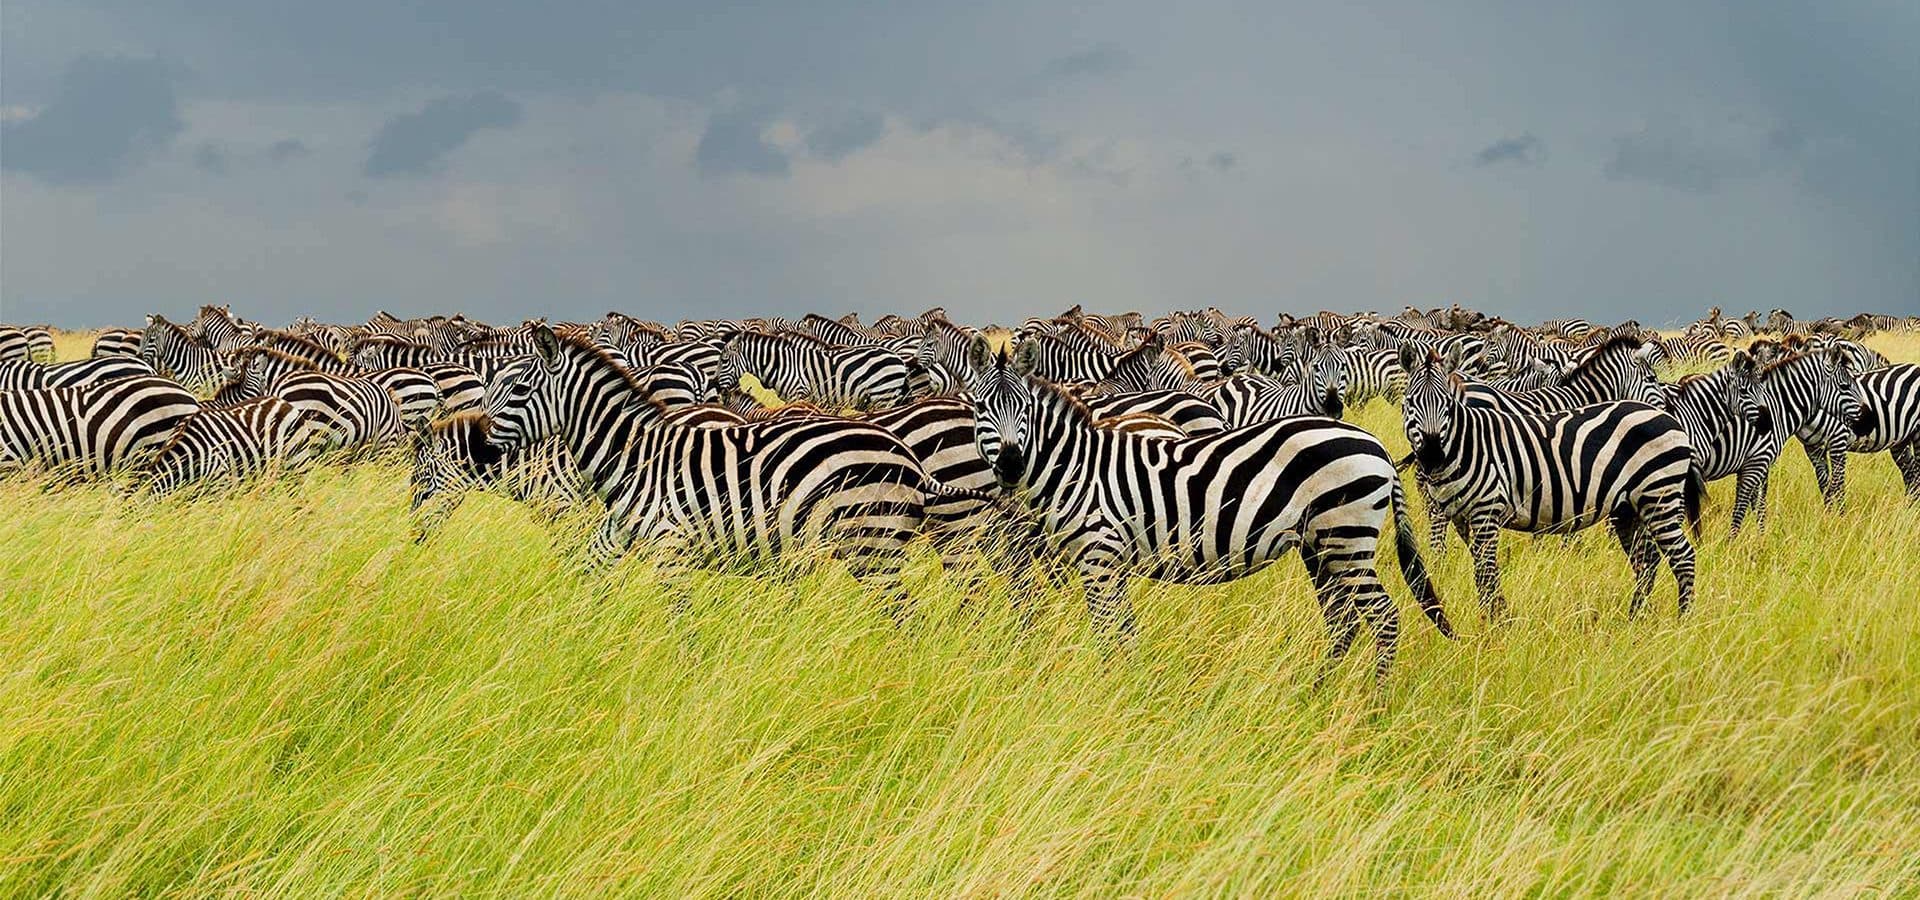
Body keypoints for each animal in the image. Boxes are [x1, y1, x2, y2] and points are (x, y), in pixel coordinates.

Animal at [479, 326, 933, 612]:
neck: (637, 458)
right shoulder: (615, 534)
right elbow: (584, 574)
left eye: (519, 389)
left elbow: (682, 621)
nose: (480, 448)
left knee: (905, 616)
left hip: (872, 546)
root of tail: (907, 456)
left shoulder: (671, 549)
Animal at [964, 336, 1454, 679]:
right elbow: (1124, 631)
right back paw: (1317, 692)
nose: (1010, 465)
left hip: (1346, 540)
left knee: (1384, 618)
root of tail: (1377, 446)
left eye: (1024, 408)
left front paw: (1111, 690)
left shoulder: (1099, 558)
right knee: (1342, 620)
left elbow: (1108, 633)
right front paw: (1130, 685)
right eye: (983, 409)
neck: (1077, 467)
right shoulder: (1110, 564)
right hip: (1320, 546)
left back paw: (1373, 703)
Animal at [1398, 344, 1702, 620]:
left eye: (1447, 404)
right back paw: (1636, 618)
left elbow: (1485, 571)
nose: (1432, 455)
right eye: (1410, 403)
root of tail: (1668, 420)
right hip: (1629, 507)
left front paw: (1495, 624)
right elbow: (1484, 569)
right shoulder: (1464, 516)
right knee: (1648, 559)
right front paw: (1497, 618)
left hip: (1658, 496)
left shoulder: (1487, 511)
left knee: (1682, 556)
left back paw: (1681, 621)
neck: (1468, 443)